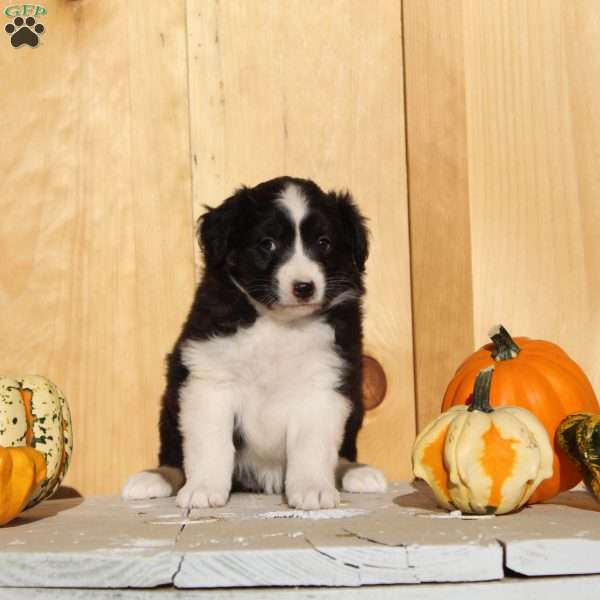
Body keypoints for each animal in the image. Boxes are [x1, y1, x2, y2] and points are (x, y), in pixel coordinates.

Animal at [123, 176, 386, 508]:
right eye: (267, 244)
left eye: (323, 243)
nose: (304, 287)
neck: (278, 324)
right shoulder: (210, 383)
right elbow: (211, 444)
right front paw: (203, 488)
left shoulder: (323, 387)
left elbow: (311, 447)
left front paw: (312, 488)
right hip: (171, 405)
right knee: (172, 456)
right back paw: (153, 477)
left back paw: (357, 471)